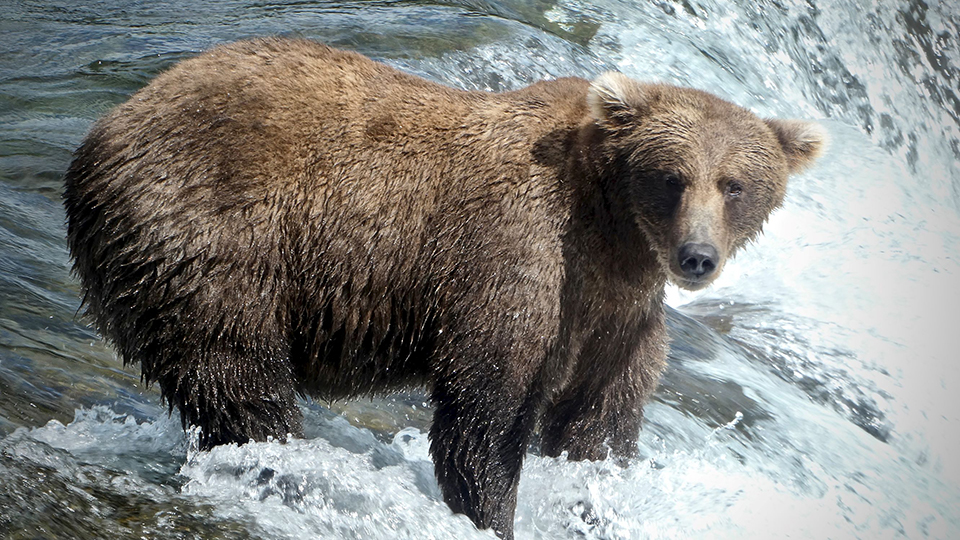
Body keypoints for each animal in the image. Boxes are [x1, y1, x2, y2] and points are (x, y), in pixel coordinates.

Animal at [63, 37, 824, 539]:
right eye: (672, 177)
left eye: (734, 184)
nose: (696, 257)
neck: (613, 236)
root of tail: (104, 128)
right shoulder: (518, 258)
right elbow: (485, 415)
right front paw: (491, 513)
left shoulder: (619, 318)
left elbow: (597, 428)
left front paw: (589, 503)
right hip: (206, 235)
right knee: (235, 373)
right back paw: (279, 466)